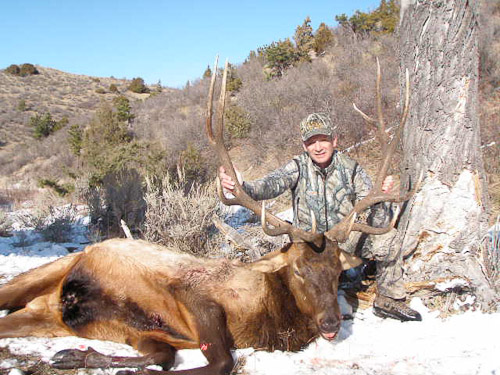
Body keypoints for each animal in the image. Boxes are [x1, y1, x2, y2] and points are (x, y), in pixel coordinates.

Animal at [0, 58, 414, 375]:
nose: (330, 323)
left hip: (44, 316)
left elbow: (163, 356)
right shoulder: (195, 294)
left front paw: (74, 355)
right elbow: (220, 362)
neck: (263, 320)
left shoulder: (149, 333)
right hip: (53, 268)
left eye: (337, 270)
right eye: (297, 269)